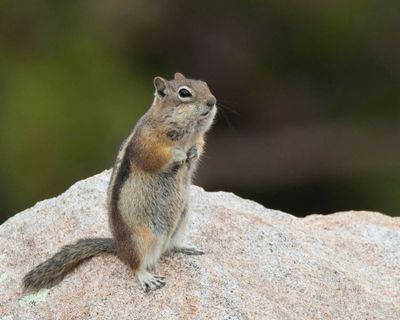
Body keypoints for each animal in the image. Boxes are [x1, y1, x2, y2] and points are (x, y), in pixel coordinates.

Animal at [23, 72, 217, 292]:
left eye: (204, 84)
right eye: (184, 93)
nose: (212, 101)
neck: (185, 135)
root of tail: (118, 247)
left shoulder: (197, 139)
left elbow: (199, 146)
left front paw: (194, 152)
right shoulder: (147, 144)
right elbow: (158, 157)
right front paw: (180, 154)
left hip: (182, 221)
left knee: (170, 245)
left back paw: (185, 246)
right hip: (140, 240)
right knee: (135, 264)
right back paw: (147, 277)